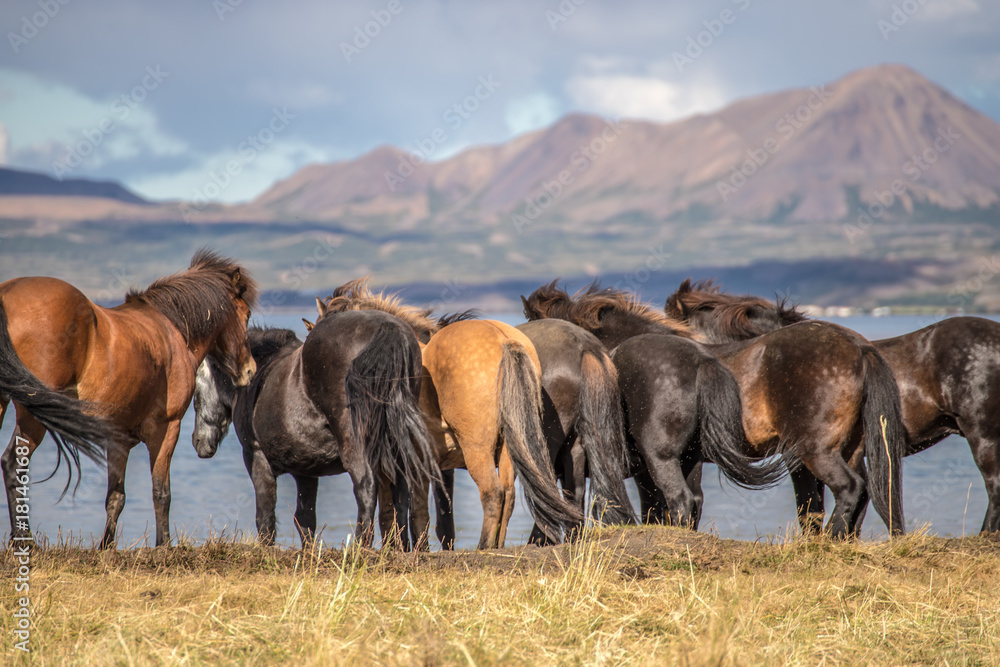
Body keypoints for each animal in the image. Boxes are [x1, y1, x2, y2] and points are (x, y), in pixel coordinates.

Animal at [1, 250, 258, 548]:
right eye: (246, 314)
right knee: (13, 463)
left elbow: (116, 498)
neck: (173, 331)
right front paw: (164, 545)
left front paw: (106, 547)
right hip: (32, 411)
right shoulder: (167, 428)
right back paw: (24, 540)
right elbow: (161, 492)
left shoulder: (118, 440)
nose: (250, 371)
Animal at [310, 280, 580, 552]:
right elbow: (432, 516)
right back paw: (495, 546)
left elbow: (408, 513)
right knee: (508, 494)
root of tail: (506, 341)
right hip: (510, 449)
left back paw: (483, 546)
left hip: (477, 449)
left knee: (492, 493)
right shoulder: (434, 465)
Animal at [524, 284, 788, 532]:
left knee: (681, 499)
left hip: (662, 457)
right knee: (694, 500)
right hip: (688, 456)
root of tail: (701, 362)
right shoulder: (641, 472)